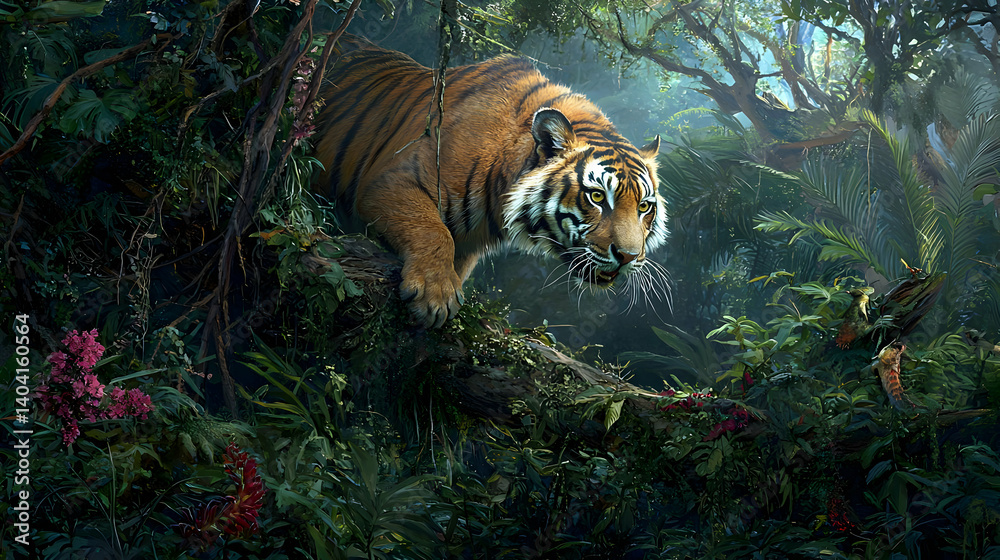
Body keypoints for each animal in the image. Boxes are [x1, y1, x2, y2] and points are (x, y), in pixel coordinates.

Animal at [314, 39, 669, 327]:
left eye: (643, 207)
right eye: (596, 197)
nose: (628, 257)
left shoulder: (468, 245)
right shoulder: (392, 181)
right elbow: (433, 232)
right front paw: (435, 296)